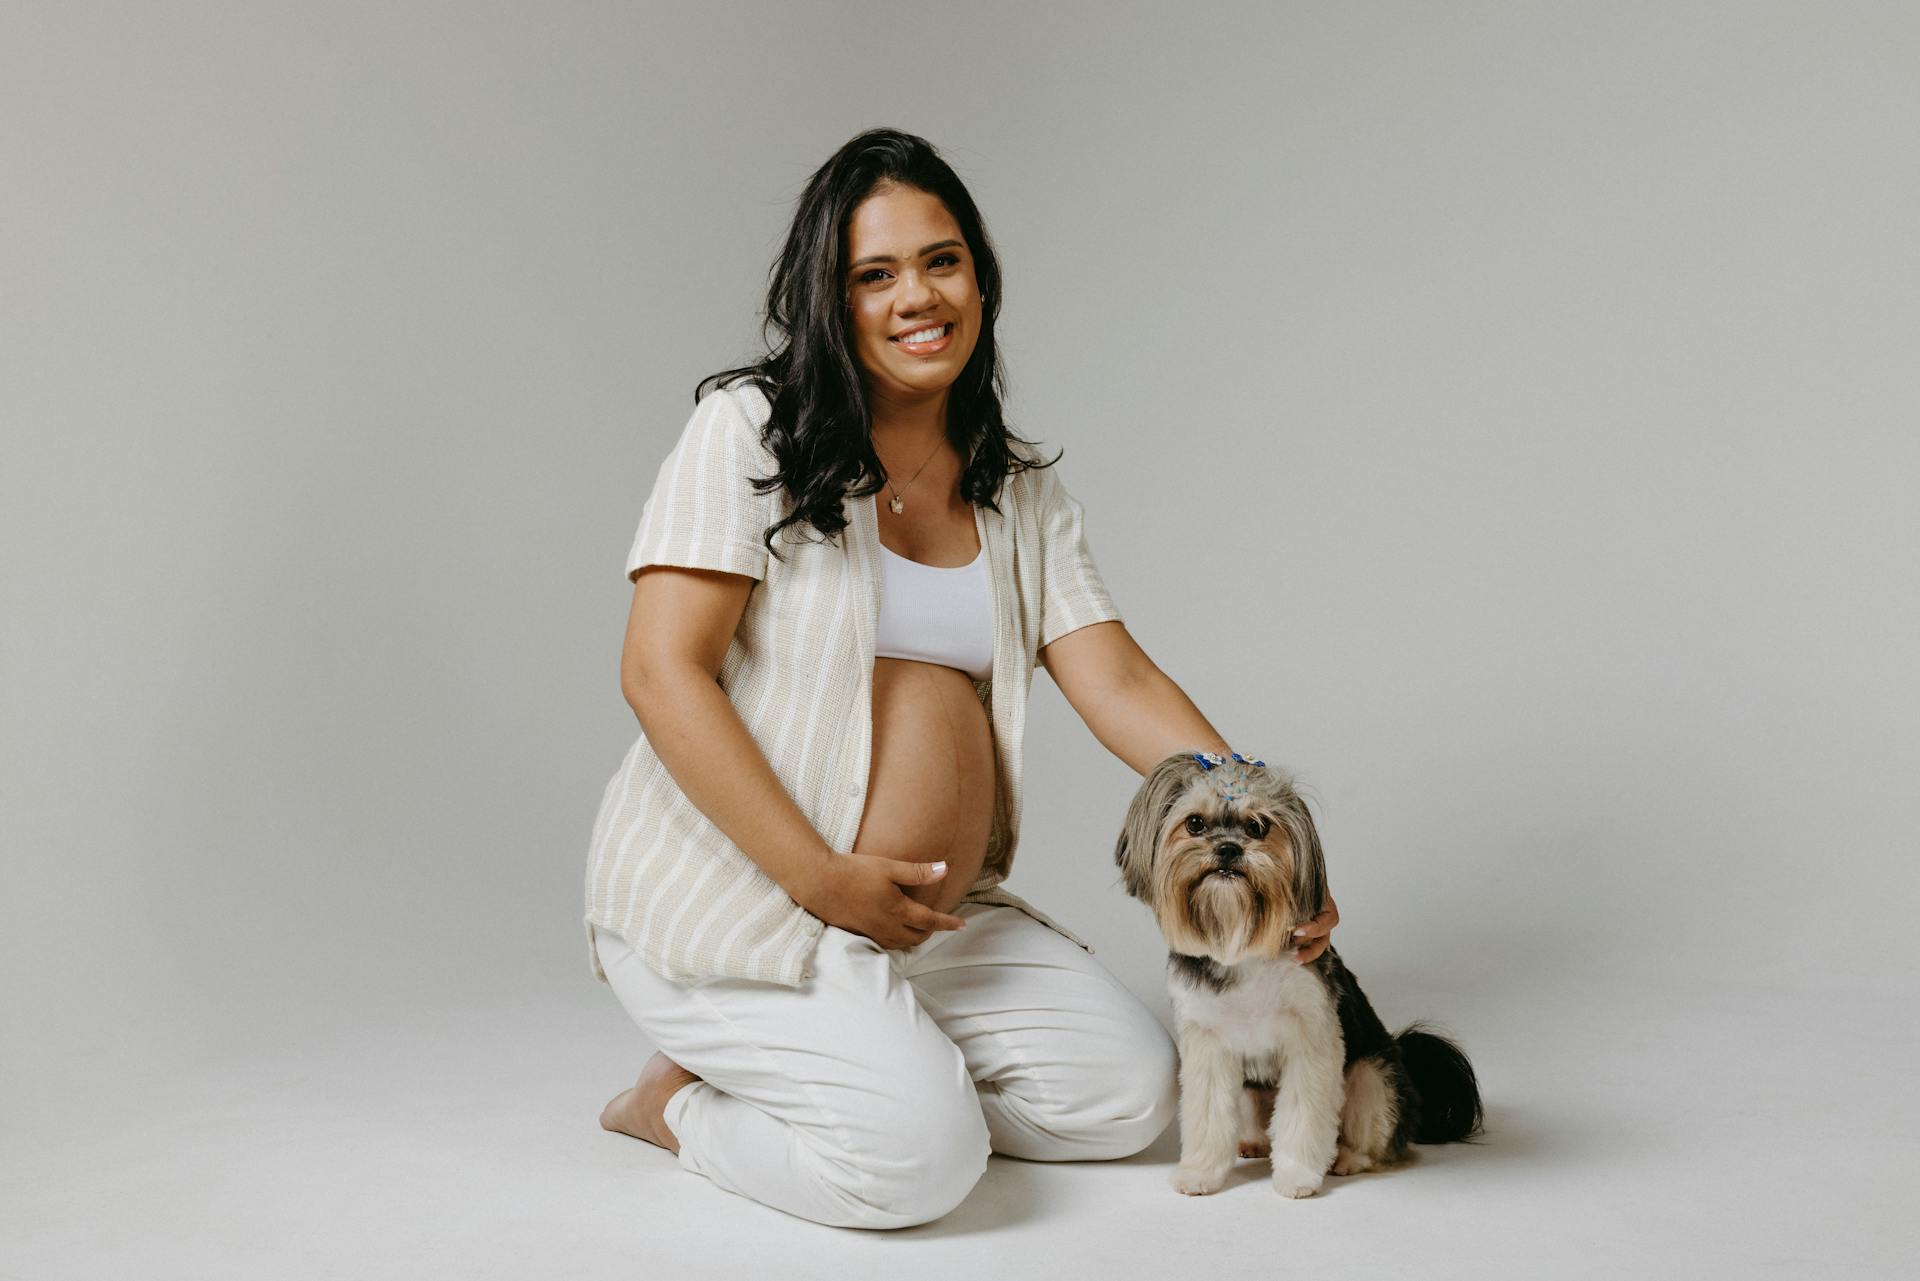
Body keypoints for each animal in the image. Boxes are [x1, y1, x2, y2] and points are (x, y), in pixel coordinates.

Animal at [1113, 745, 1482, 1198]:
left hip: (1372, 1074)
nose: (1229, 849)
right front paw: (1200, 1172)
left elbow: (1303, 1115)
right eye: (1195, 823)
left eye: (1258, 826)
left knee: (1377, 1138)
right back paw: (1253, 1142)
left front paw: (1296, 1176)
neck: (1242, 943)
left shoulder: (1312, 1039)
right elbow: (1207, 1115)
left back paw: (1347, 1158)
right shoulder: (1207, 1045)